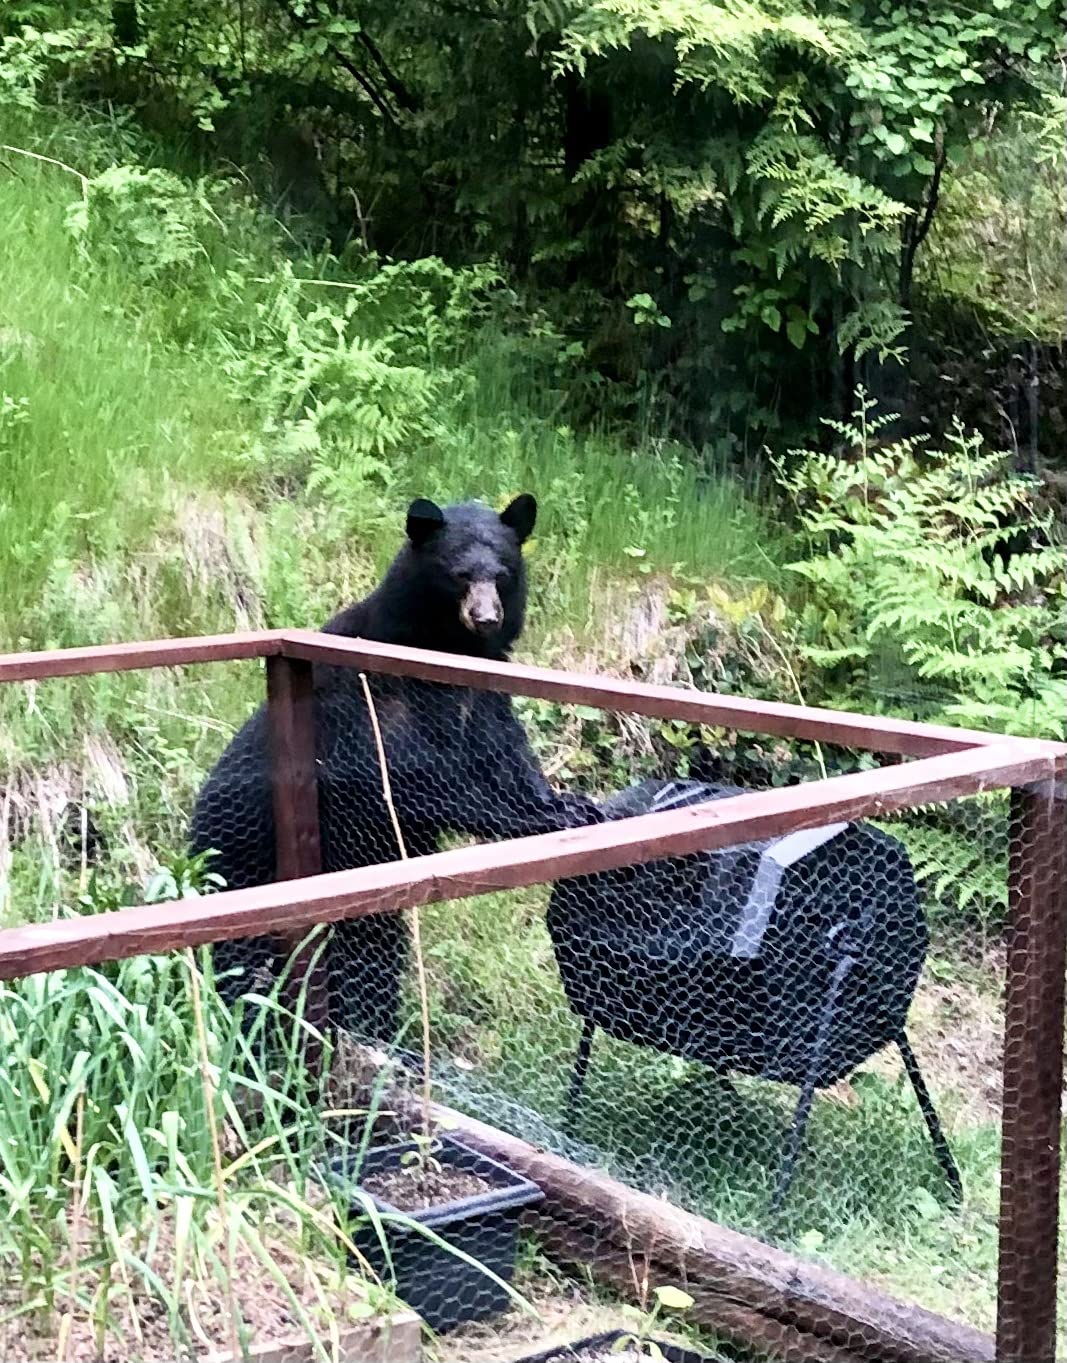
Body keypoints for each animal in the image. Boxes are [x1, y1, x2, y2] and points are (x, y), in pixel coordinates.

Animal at [188, 496, 596, 1035]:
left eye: (503, 572)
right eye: (460, 574)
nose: (487, 617)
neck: (441, 652)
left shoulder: (482, 697)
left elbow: (504, 753)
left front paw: (564, 802)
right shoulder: (370, 698)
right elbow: (412, 778)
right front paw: (538, 817)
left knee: (374, 955)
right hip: (245, 873)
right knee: (250, 968)